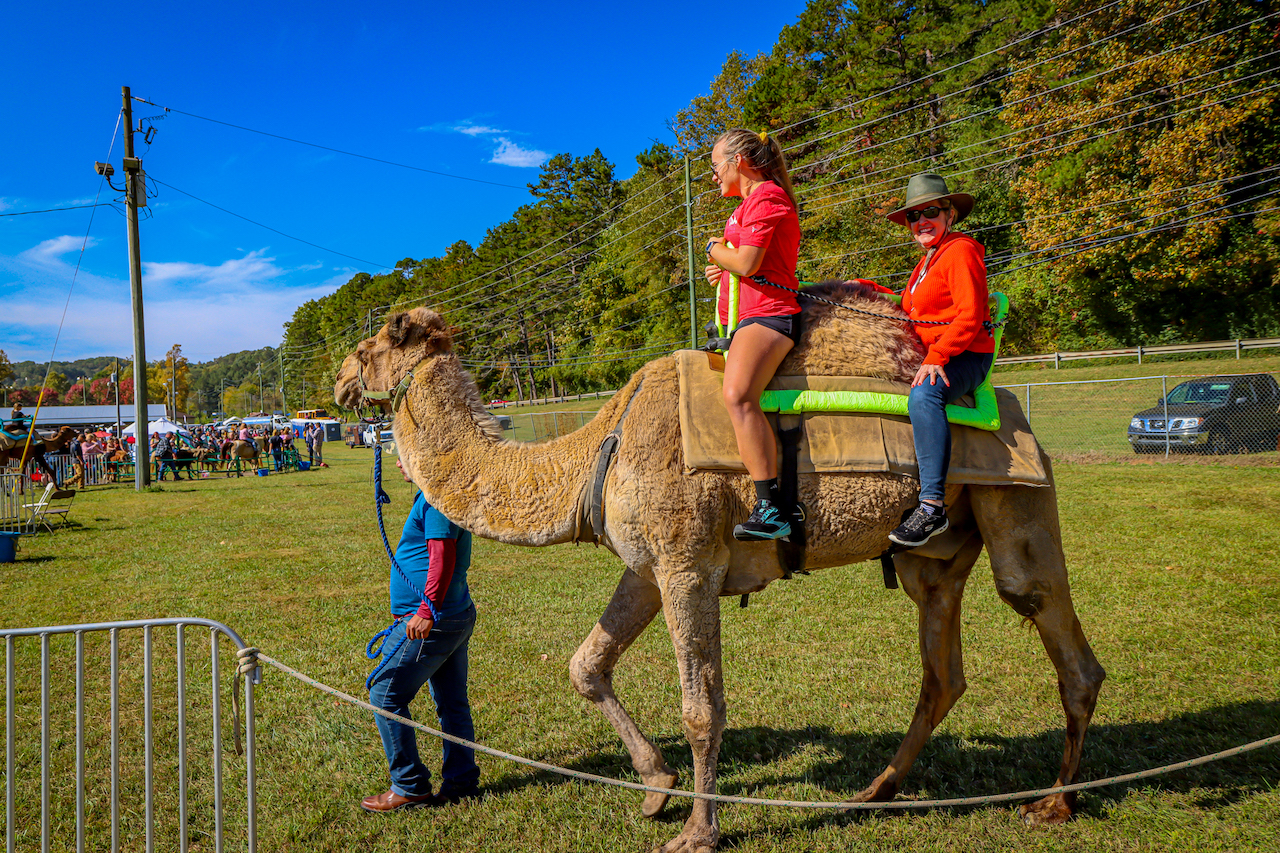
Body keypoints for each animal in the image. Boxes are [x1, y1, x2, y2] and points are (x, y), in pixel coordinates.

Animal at [335, 285, 1105, 850]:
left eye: (367, 346)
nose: (339, 382)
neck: (597, 449)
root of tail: (1020, 418)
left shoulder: (688, 562)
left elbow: (702, 706)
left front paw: (698, 832)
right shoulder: (648, 567)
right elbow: (587, 663)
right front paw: (655, 788)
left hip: (1014, 496)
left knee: (1052, 625)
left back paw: (1054, 803)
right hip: (933, 554)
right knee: (943, 670)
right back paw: (877, 791)